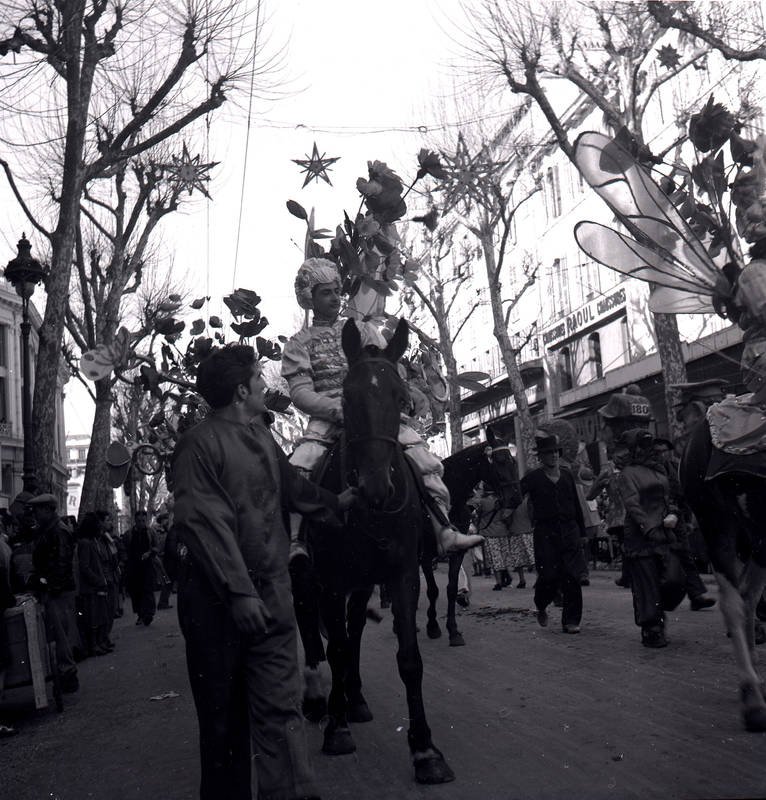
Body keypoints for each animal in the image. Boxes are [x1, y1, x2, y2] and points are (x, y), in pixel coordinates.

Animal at [304, 318, 452, 780]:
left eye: (401, 398)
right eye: (346, 397)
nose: (375, 488)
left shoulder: (401, 574)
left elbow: (409, 658)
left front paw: (425, 749)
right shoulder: (331, 580)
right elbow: (334, 648)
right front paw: (336, 729)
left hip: (364, 583)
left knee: (353, 632)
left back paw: (355, 699)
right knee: (314, 636)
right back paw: (318, 701)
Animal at [420, 428, 520, 648]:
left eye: (514, 461)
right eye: (500, 460)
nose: (515, 498)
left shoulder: (458, 548)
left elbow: (450, 588)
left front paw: (453, 630)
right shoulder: (423, 554)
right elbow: (432, 590)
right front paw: (432, 626)